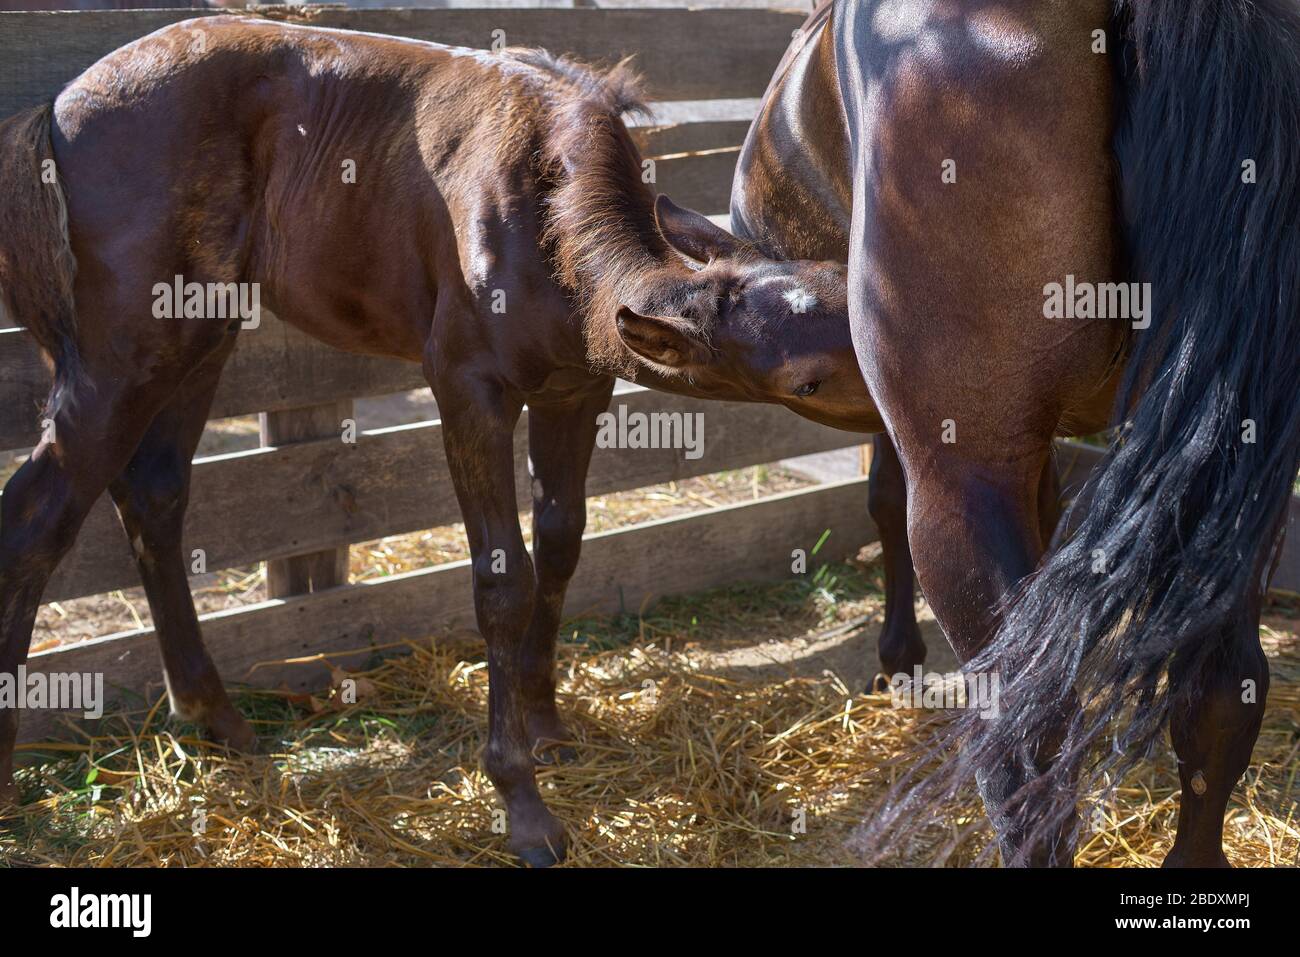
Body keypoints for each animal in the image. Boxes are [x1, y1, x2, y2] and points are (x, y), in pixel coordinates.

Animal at [0, 15, 879, 866]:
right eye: (808, 379)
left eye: (846, 298)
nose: (902, 395)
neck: (541, 210)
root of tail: (55, 109)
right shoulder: (466, 385)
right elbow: (502, 577)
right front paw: (524, 806)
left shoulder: (576, 387)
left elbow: (561, 541)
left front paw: (548, 724)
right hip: (122, 347)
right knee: (37, 513)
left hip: (200, 330)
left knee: (152, 488)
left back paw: (221, 721)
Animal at [732, 0, 1300, 866]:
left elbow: (881, 497)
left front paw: (898, 661)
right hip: (1240, 464)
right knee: (1217, 695)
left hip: (964, 482)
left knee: (1024, 744)